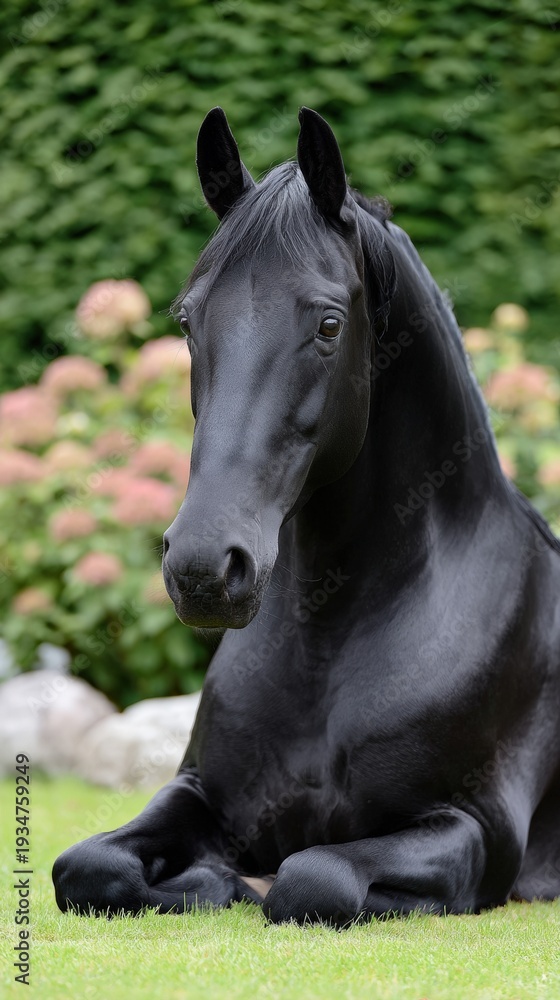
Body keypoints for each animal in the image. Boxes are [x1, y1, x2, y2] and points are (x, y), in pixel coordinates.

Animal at [53, 107, 560, 925]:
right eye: (188, 319)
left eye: (327, 324)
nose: (203, 569)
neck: (332, 639)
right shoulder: (196, 790)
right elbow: (87, 864)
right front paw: (212, 880)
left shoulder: (476, 829)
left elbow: (312, 877)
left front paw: (240, 883)